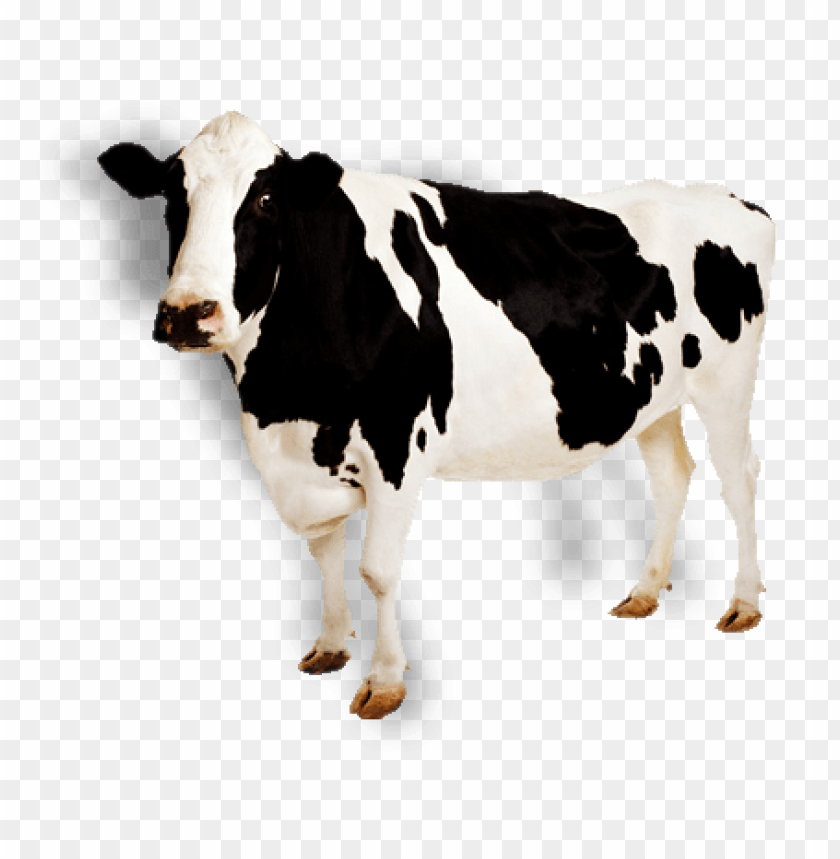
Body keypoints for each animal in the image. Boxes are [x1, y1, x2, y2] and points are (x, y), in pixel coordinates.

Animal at [98, 112, 774, 719]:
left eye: (265, 198)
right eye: (173, 196)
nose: (188, 313)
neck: (284, 391)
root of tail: (733, 200)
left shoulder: (396, 445)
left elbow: (376, 570)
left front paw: (385, 683)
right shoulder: (295, 454)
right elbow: (324, 549)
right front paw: (330, 646)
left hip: (726, 384)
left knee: (739, 480)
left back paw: (744, 603)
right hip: (652, 397)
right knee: (672, 478)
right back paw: (645, 590)